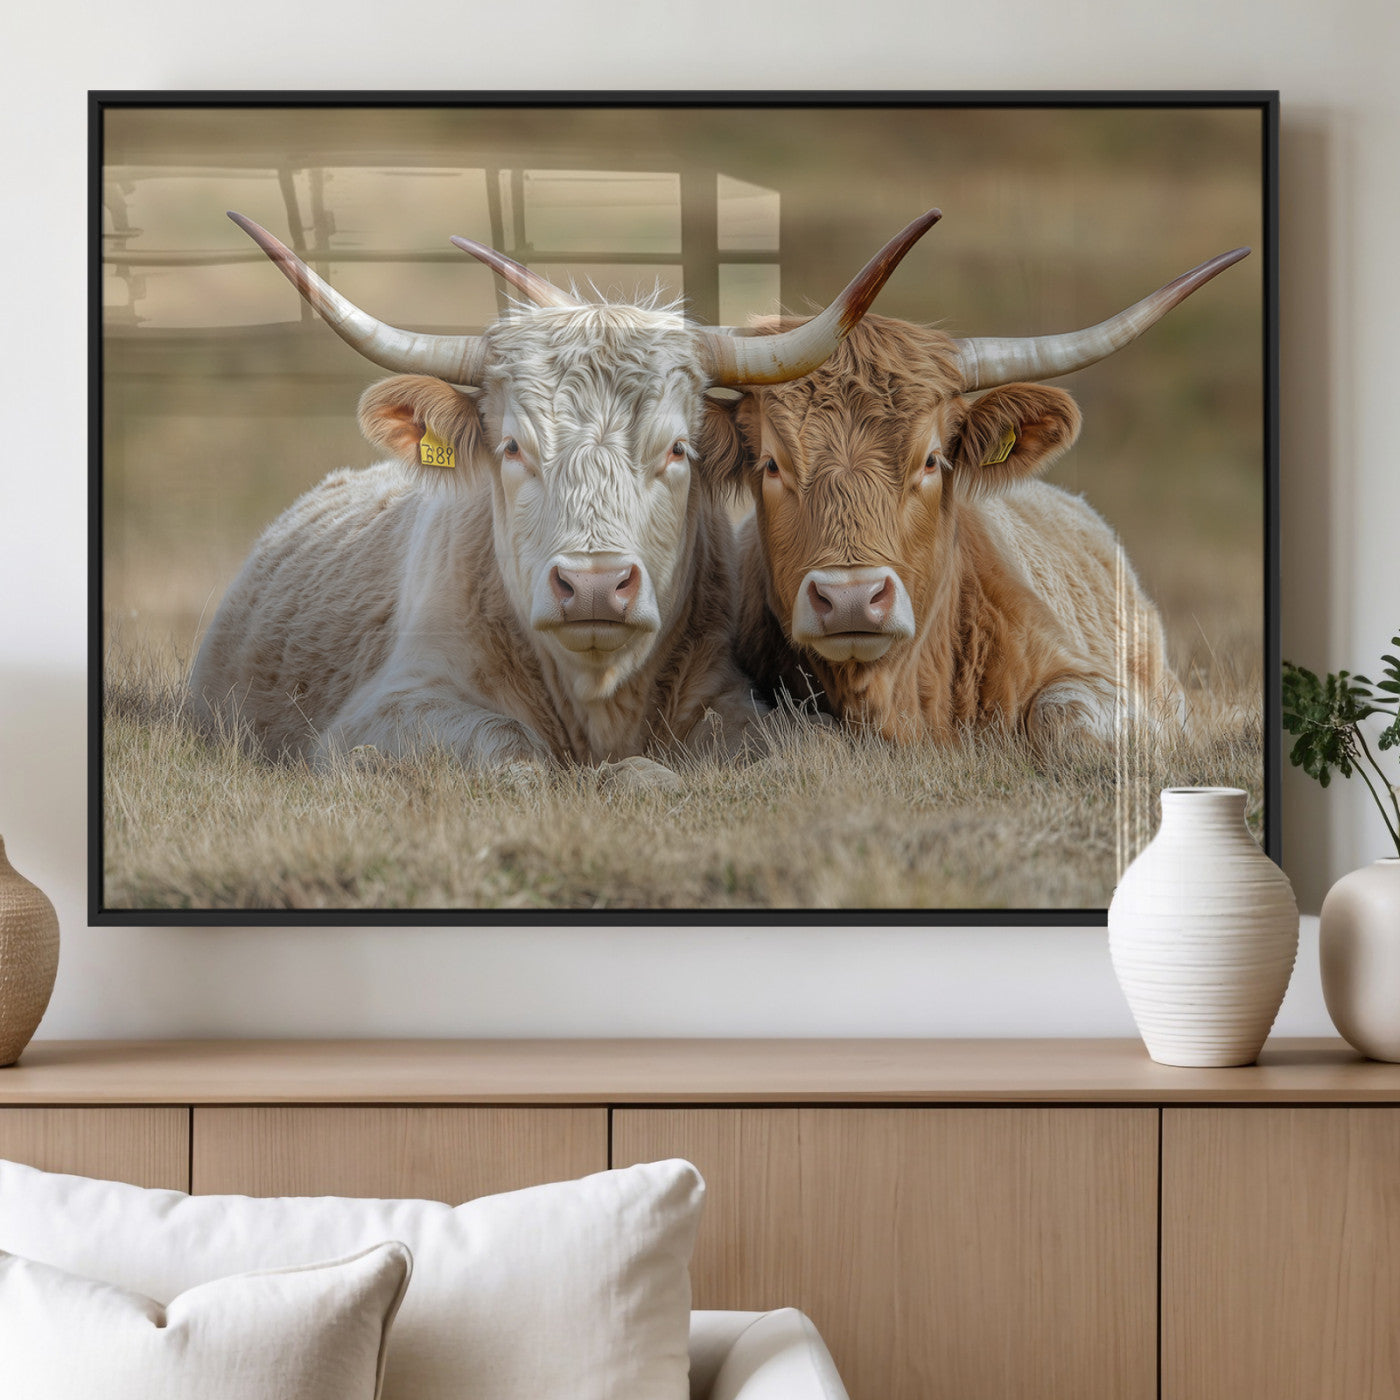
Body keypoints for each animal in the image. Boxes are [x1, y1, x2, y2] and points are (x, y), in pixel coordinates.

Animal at [187, 210, 941, 780]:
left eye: (678, 449)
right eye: (513, 448)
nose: (594, 586)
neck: (597, 695)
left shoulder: (732, 697)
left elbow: (802, 748)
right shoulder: (386, 712)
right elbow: (510, 750)